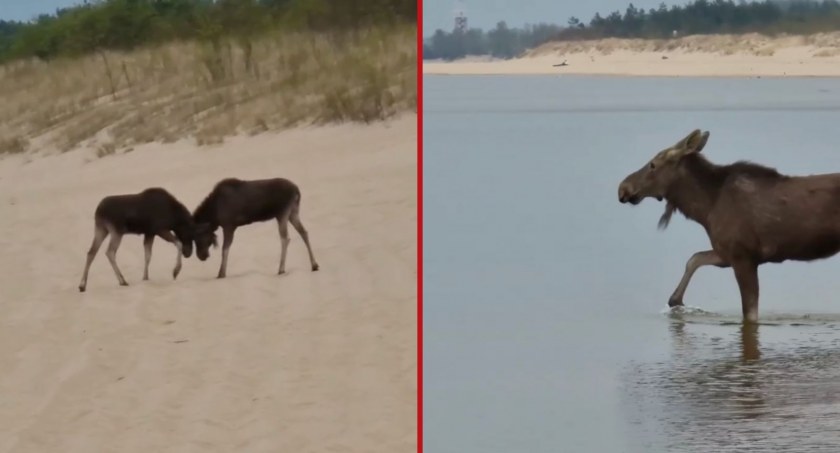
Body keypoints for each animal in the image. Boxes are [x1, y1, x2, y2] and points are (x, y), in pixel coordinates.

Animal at [192, 177, 320, 278]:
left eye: (197, 236)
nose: (202, 256)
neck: (214, 215)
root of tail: (297, 191)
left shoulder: (229, 226)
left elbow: (225, 250)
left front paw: (221, 274)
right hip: (293, 213)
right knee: (304, 232)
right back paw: (314, 265)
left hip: (282, 213)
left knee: (285, 238)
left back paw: (281, 269)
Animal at [616, 129, 840, 324]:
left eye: (653, 164)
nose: (623, 188)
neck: (705, 209)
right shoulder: (725, 253)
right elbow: (694, 258)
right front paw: (675, 300)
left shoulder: (743, 255)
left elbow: (750, 313)